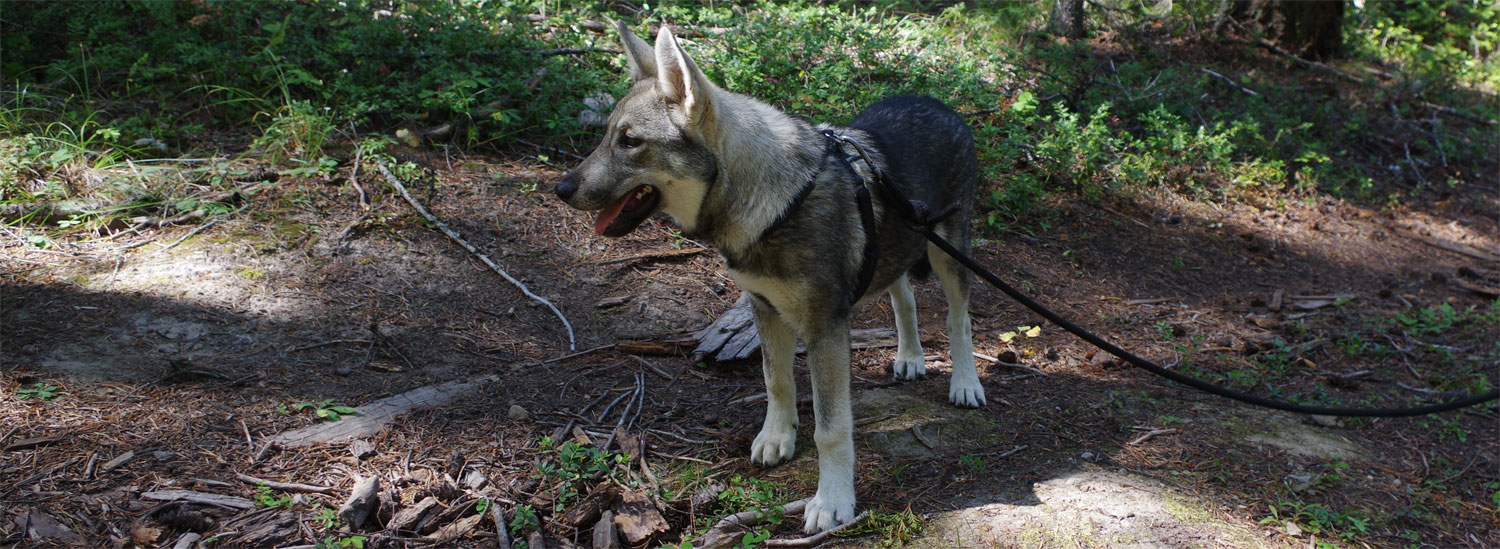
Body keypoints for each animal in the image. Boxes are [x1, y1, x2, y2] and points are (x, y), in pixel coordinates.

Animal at [554, 22, 984, 533]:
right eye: (606, 137)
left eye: (630, 141)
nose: (560, 188)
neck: (774, 203)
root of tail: (937, 102)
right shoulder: (765, 309)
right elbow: (776, 381)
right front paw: (778, 438)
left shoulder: (824, 330)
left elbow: (831, 429)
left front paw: (832, 501)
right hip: (894, 247)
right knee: (904, 298)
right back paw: (910, 357)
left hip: (950, 255)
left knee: (959, 322)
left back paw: (965, 383)